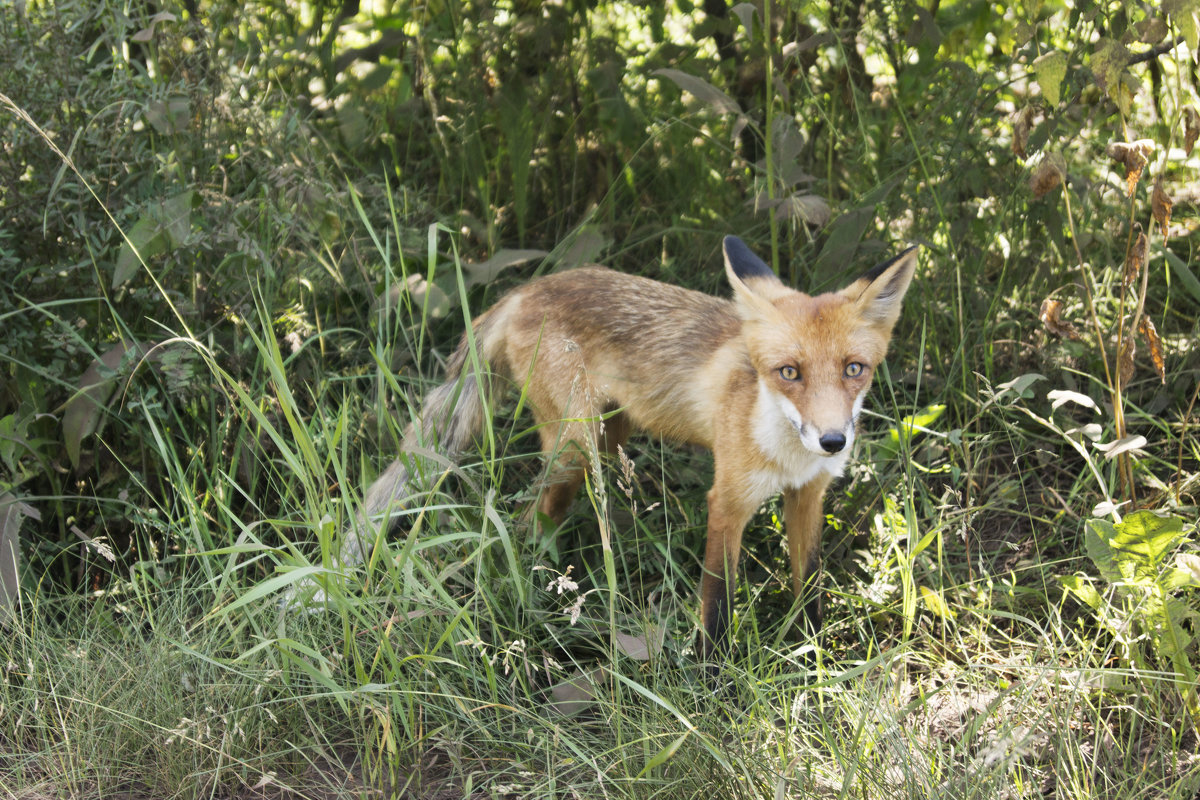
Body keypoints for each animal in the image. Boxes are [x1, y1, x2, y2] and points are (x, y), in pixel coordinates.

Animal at [348, 235, 916, 662]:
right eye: (789, 373)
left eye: (854, 369)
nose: (832, 441)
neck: (785, 451)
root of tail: (528, 288)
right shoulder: (728, 502)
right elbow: (717, 604)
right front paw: (714, 679)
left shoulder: (808, 497)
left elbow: (810, 588)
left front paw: (813, 658)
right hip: (576, 449)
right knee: (528, 520)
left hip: (607, 437)